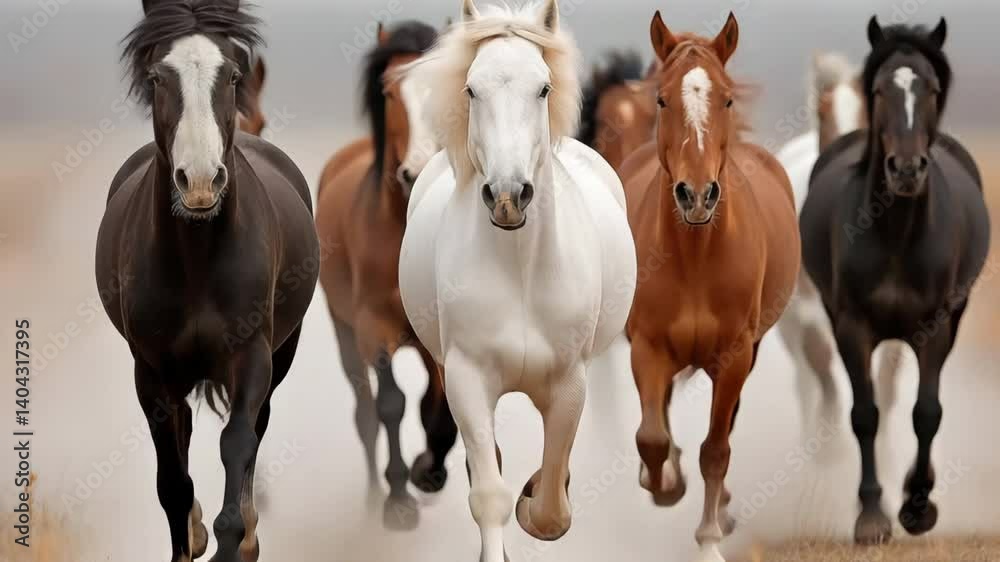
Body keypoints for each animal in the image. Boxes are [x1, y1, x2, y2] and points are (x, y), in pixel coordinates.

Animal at [95, 1, 318, 561]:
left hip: (281, 353)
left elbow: (238, 442)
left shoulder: (252, 355)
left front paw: (236, 538)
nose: (199, 182)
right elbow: (172, 482)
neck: (197, 258)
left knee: (255, 426)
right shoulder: (151, 371)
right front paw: (191, 538)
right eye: (157, 77)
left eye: (232, 75)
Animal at [315, 20, 453, 529]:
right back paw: (376, 494)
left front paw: (428, 471)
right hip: (343, 332)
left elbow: (438, 403)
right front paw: (398, 500)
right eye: (390, 93)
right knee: (366, 415)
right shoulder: (373, 329)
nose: (417, 171)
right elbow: (392, 405)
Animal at [396, 0, 636, 559]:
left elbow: (552, 510)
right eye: (471, 89)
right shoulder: (466, 376)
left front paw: (535, 500)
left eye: (543, 88)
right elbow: (489, 495)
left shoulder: (569, 382)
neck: (520, 270)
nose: (508, 196)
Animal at [620, 12, 799, 562]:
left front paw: (709, 539)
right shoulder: (647, 347)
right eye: (661, 98)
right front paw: (663, 484)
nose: (696, 196)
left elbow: (716, 449)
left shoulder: (735, 354)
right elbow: (652, 438)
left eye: (726, 99)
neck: (696, 255)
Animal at [800, 17, 990, 544]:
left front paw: (918, 505)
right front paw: (872, 517)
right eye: (882, 89)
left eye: (932, 88)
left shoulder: (936, 326)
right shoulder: (851, 327)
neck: (897, 234)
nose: (906, 169)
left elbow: (927, 413)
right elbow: (865, 415)